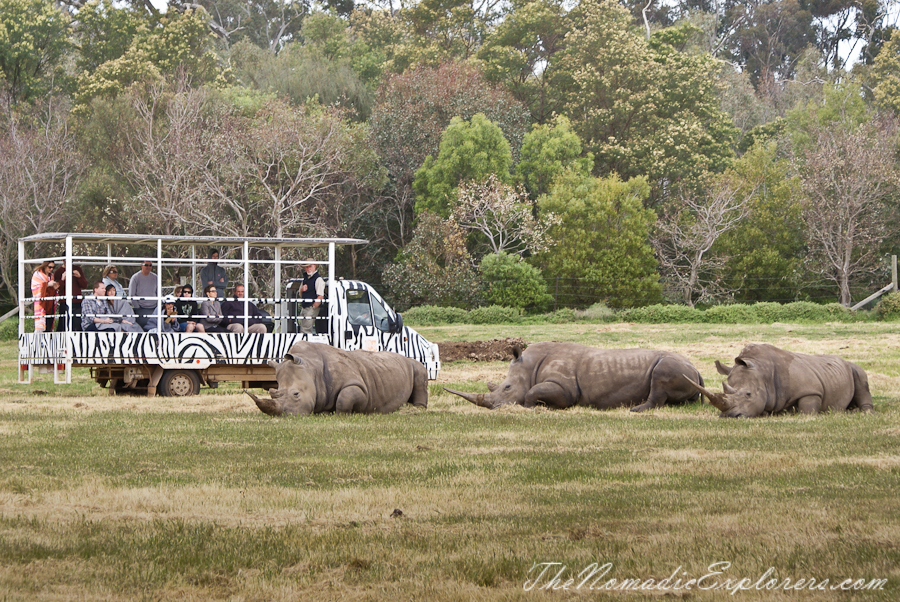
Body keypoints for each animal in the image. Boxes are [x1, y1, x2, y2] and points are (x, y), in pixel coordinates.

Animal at [246, 340, 428, 414]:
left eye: (296, 394)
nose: (285, 415)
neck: (312, 368)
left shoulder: (360, 387)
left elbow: (346, 397)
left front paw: (341, 415)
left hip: (412, 363)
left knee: (420, 370)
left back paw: (417, 409)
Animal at [442, 340, 704, 410]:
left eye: (507, 388)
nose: (494, 407)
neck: (529, 366)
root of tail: (697, 369)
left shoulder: (565, 388)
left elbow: (532, 391)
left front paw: (530, 406)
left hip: (672, 365)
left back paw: (635, 410)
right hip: (687, 371)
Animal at [688, 342, 872, 418]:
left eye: (748, 394)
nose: (730, 416)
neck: (764, 372)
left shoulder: (811, 390)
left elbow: (808, 409)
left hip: (852, 368)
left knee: (860, 376)